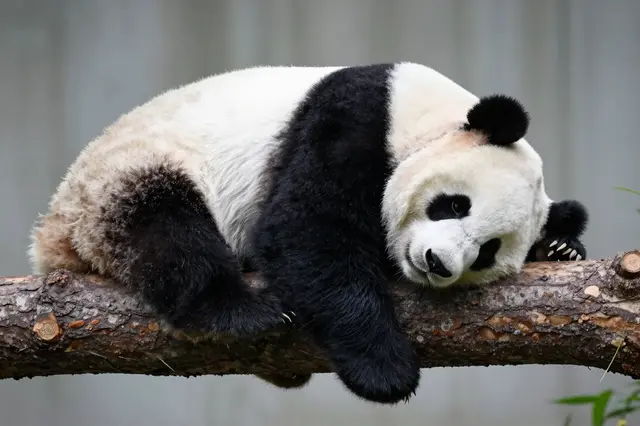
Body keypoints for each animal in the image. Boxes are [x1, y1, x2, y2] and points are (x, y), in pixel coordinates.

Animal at [28, 62, 588, 405]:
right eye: (454, 204)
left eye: (487, 252)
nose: (437, 262)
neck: (425, 117)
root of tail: (51, 238)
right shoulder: (353, 122)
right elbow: (307, 231)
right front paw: (385, 371)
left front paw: (560, 245)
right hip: (117, 180)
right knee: (165, 228)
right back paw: (244, 311)